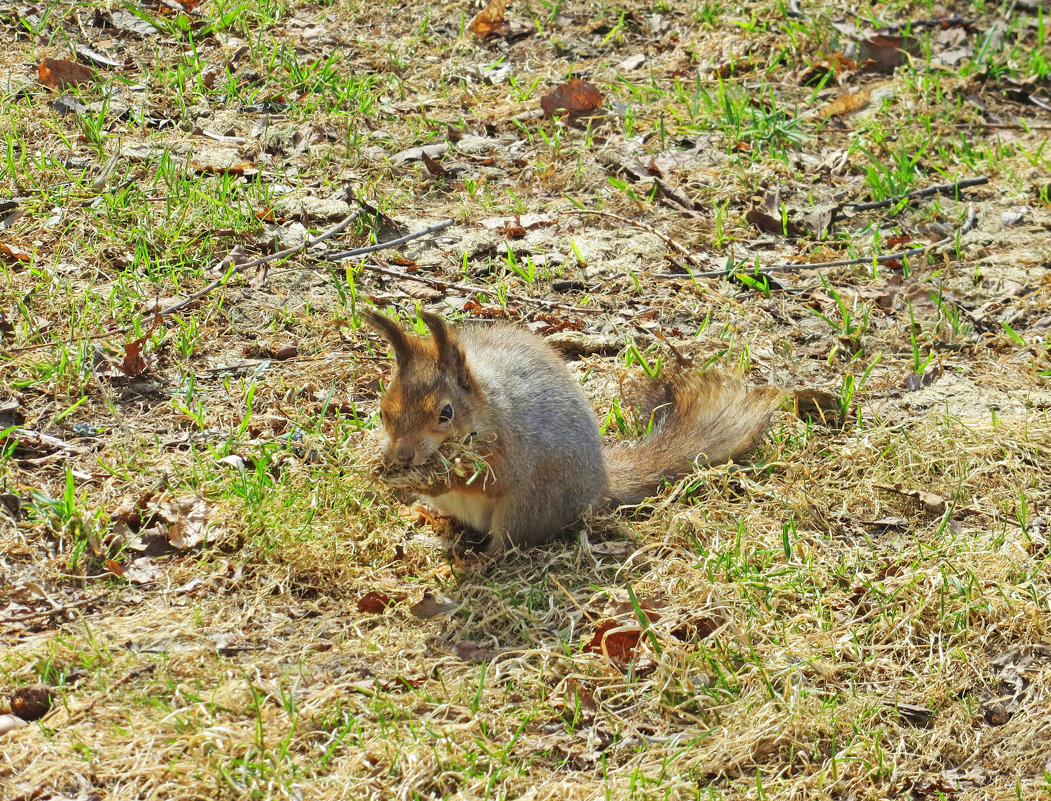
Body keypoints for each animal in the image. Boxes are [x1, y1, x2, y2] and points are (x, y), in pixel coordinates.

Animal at [361, 306, 781, 555]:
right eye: (383, 411)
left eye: (446, 412)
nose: (403, 455)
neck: (488, 411)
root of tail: (600, 488)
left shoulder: (512, 449)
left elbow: (488, 480)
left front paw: (435, 478)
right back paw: (427, 517)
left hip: (526, 508)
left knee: (508, 542)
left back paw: (484, 557)